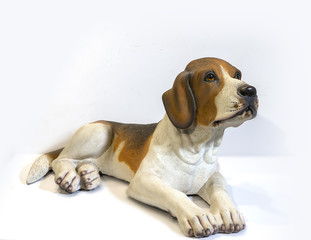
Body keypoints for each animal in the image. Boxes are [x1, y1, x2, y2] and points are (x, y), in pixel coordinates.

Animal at [26, 57, 258, 237]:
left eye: (237, 74)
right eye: (210, 77)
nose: (250, 90)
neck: (199, 148)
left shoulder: (212, 176)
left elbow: (220, 188)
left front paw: (228, 211)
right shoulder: (143, 181)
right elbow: (176, 194)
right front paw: (197, 214)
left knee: (83, 163)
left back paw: (88, 175)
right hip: (100, 131)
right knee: (61, 159)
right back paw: (69, 176)